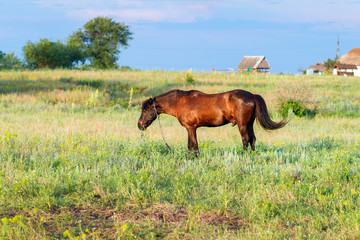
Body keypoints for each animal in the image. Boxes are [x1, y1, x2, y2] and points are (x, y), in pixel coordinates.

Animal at [138, 89, 286, 155]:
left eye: (145, 110)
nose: (139, 125)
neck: (180, 102)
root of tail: (252, 96)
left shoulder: (191, 128)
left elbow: (194, 145)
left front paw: (196, 158)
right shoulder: (189, 128)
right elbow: (190, 145)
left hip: (242, 124)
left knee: (245, 139)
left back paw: (243, 156)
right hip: (249, 124)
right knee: (252, 139)